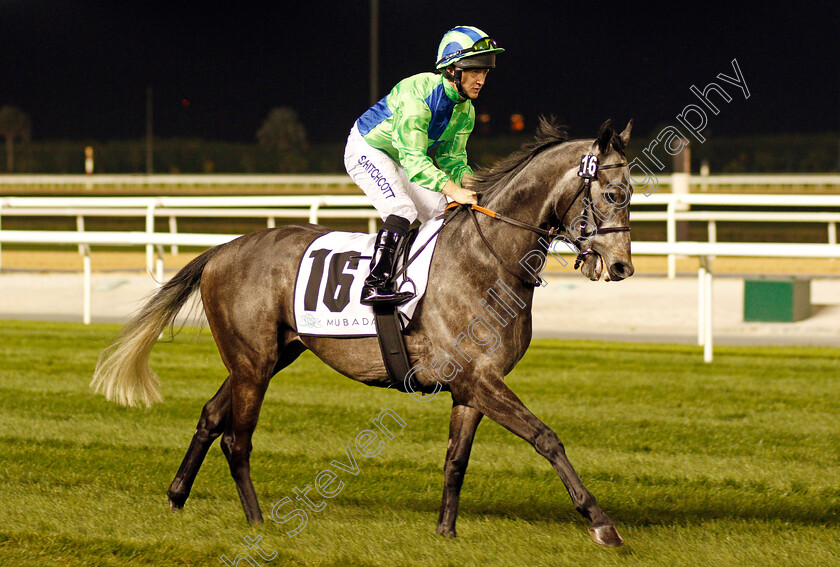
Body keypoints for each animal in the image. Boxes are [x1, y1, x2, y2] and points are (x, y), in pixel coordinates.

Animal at [90, 117, 636, 548]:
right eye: (613, 194)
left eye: (635, 195)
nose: (622, 267)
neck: (490, 258)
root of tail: (221, 250)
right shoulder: (479, 378)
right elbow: (546, 438)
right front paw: (601, 523)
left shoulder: (471, 385)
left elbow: (456, 460)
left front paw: (446, 531)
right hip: (253, 362)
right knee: (237, 440)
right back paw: (257, 520)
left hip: (267, 357)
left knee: (210, 416)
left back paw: (177, 496)